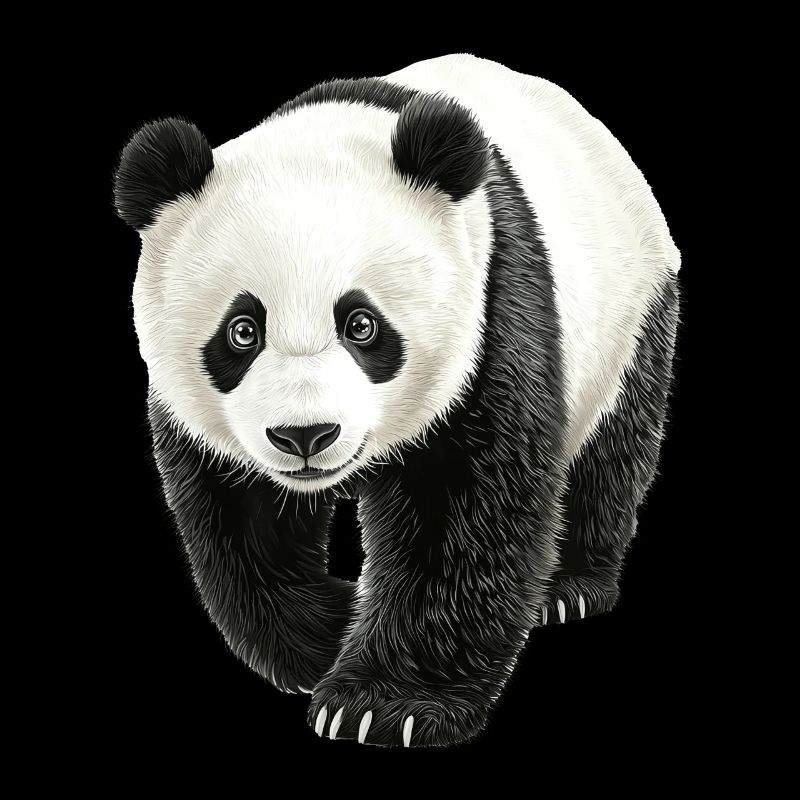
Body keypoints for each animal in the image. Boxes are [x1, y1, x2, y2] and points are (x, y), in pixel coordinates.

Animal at [115, 54, 680, 748]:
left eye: (361, 324)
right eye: (242, 331)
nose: (305, 436)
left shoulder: (492, 312)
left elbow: (462, 510)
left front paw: (383, 706)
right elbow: (240, 522)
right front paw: (325, 637)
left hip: (627, 313)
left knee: (611, 449)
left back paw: (569, 587)